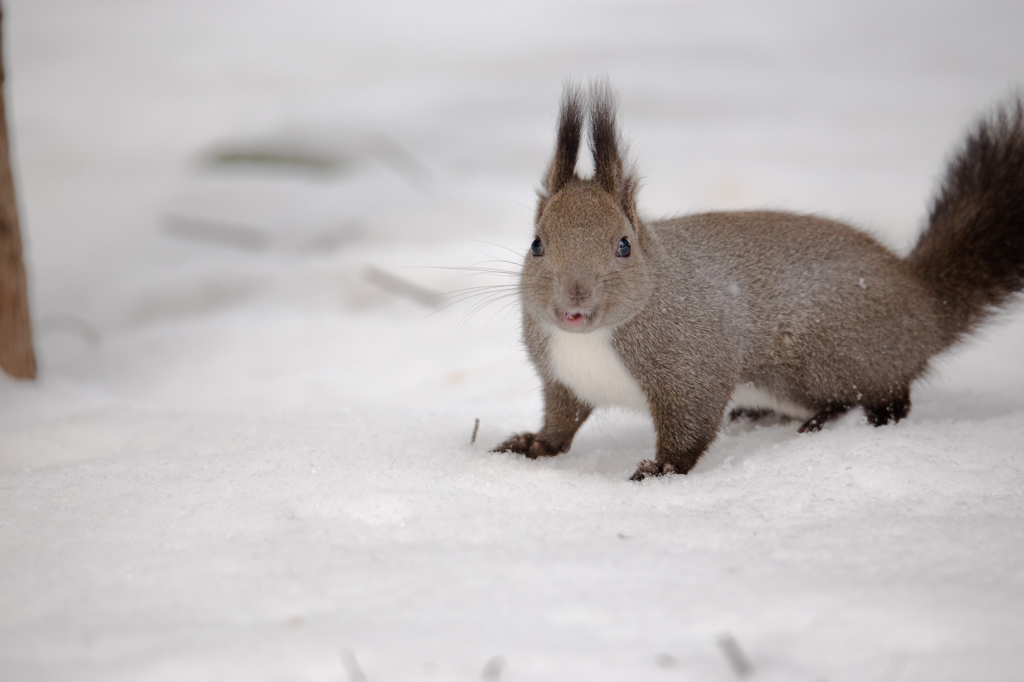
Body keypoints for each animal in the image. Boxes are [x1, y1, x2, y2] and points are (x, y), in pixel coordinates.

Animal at [493, 82, 1024, 481]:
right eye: (536, 244)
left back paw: (834, 421)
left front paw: (660, 470)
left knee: (888, 397)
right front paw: (531, 445)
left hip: (828, 359)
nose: (574, 300)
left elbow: (690, 427)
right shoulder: (562, 378)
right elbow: (561, 423)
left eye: (623, 245)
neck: (594, 338)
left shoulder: (694, 368)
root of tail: (926, 305)